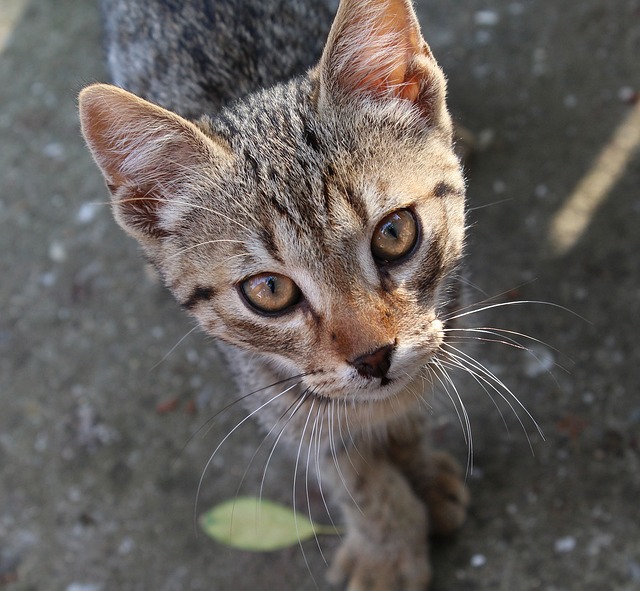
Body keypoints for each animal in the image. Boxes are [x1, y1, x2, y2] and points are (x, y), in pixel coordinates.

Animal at [79, 0, 470, 588]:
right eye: (269, 290)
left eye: (394, 233)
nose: (374, 358)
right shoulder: (284, 405)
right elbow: (353, 474)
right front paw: (388, 542)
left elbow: (402, 417)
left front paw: (416, 470)